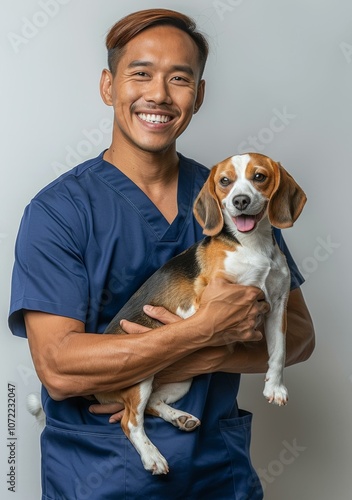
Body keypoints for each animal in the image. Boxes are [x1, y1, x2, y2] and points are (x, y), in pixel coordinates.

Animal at [93, 152, 306, 476]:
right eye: (225, 181)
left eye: (259, 177)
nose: (240, 201)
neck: (252, 246)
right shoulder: (210, 299)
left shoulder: (279, 303)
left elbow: (279, 351)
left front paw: (275, 387)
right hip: (140, 374)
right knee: (131, 421)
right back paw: (152, 456)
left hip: (180, 382)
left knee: (152, 404)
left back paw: (179, 417)